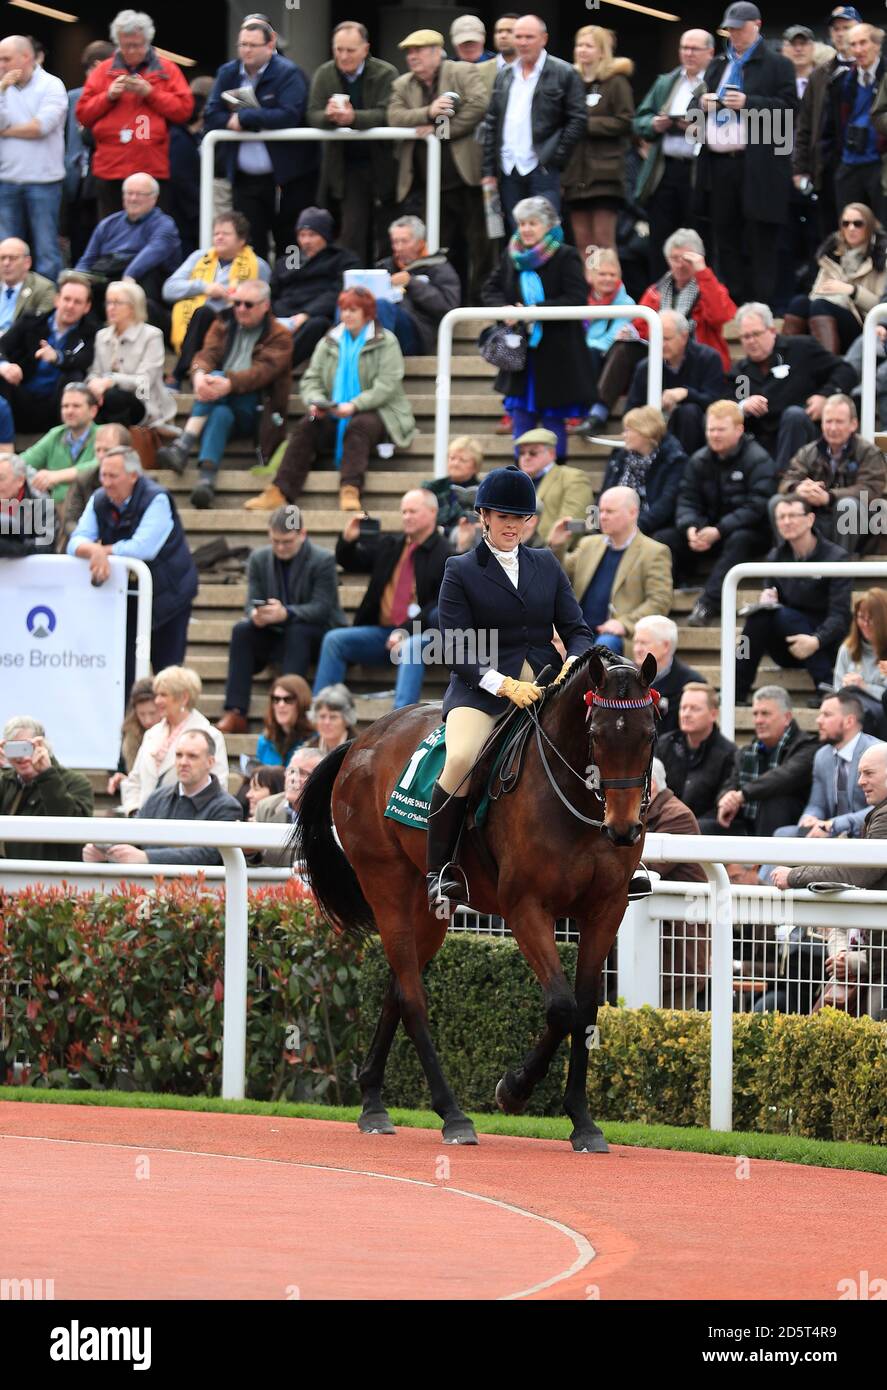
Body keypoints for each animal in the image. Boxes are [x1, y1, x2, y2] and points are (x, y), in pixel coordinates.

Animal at [297, 644, 661, 1145]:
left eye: (649, 734)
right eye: (596, 734)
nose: (623, 830)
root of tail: (360, 742)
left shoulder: (605, 910)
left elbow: (585, 1010)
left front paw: (582, 1121)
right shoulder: (526, 908)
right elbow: (561, 1007)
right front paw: (514, 1089)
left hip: (430, 905)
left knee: (398, 987)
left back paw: (372, 1102)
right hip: (385, 883)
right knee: (413, 999)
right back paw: (453, 1115)